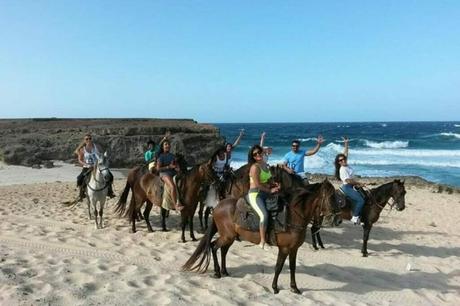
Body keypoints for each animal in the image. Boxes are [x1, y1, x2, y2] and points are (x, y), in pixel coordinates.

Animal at [182, 179, 342, 294]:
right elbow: (278, 267)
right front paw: (275, 287)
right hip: (227, 236)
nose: (338, 220)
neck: (292, 216)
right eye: (330, 197)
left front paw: (294, 288)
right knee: (214, 246)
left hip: (230, 237)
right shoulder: (284, 248)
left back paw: (224, 271)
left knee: (222, 250)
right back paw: (217, 272)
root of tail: (217, 206)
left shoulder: (294, 249)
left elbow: (293, 267)